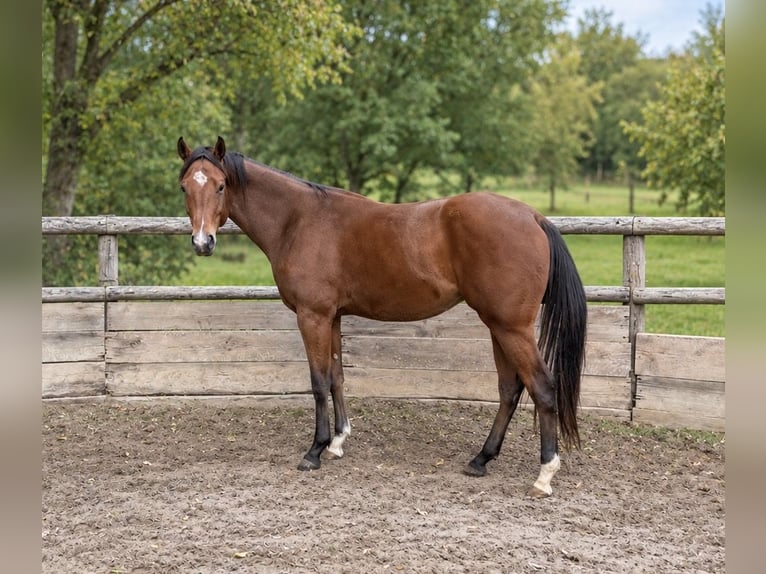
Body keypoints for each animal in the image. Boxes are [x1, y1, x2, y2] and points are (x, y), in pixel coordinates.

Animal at [177, 136, 587, 498]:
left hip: (512, 327)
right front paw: (337, 442)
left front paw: (315, 451)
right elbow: (337, 377)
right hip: (498, 325)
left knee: (542, 387)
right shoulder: (333, 317)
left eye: (220, 185)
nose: (202, 243)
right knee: (509, 389)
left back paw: (544, 475)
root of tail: (533, 217)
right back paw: (481, 459)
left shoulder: (313, 316)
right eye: (185, 187)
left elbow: (318, 382)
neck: (299, 219)